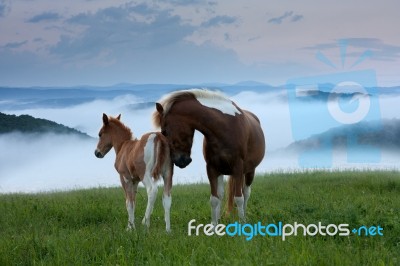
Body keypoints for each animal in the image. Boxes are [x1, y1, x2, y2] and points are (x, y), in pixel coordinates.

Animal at [154, 89, 266, 224]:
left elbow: (239, 198)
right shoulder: (212, 168)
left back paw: (244, 216)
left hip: (249, 171)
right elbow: (214, 199)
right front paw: (214, 225)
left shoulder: (238, 168)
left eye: (164, 132)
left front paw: (242, 223)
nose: (180, 161)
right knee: (222, 194)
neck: (225, 128)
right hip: (222, 170)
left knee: (246, 192)